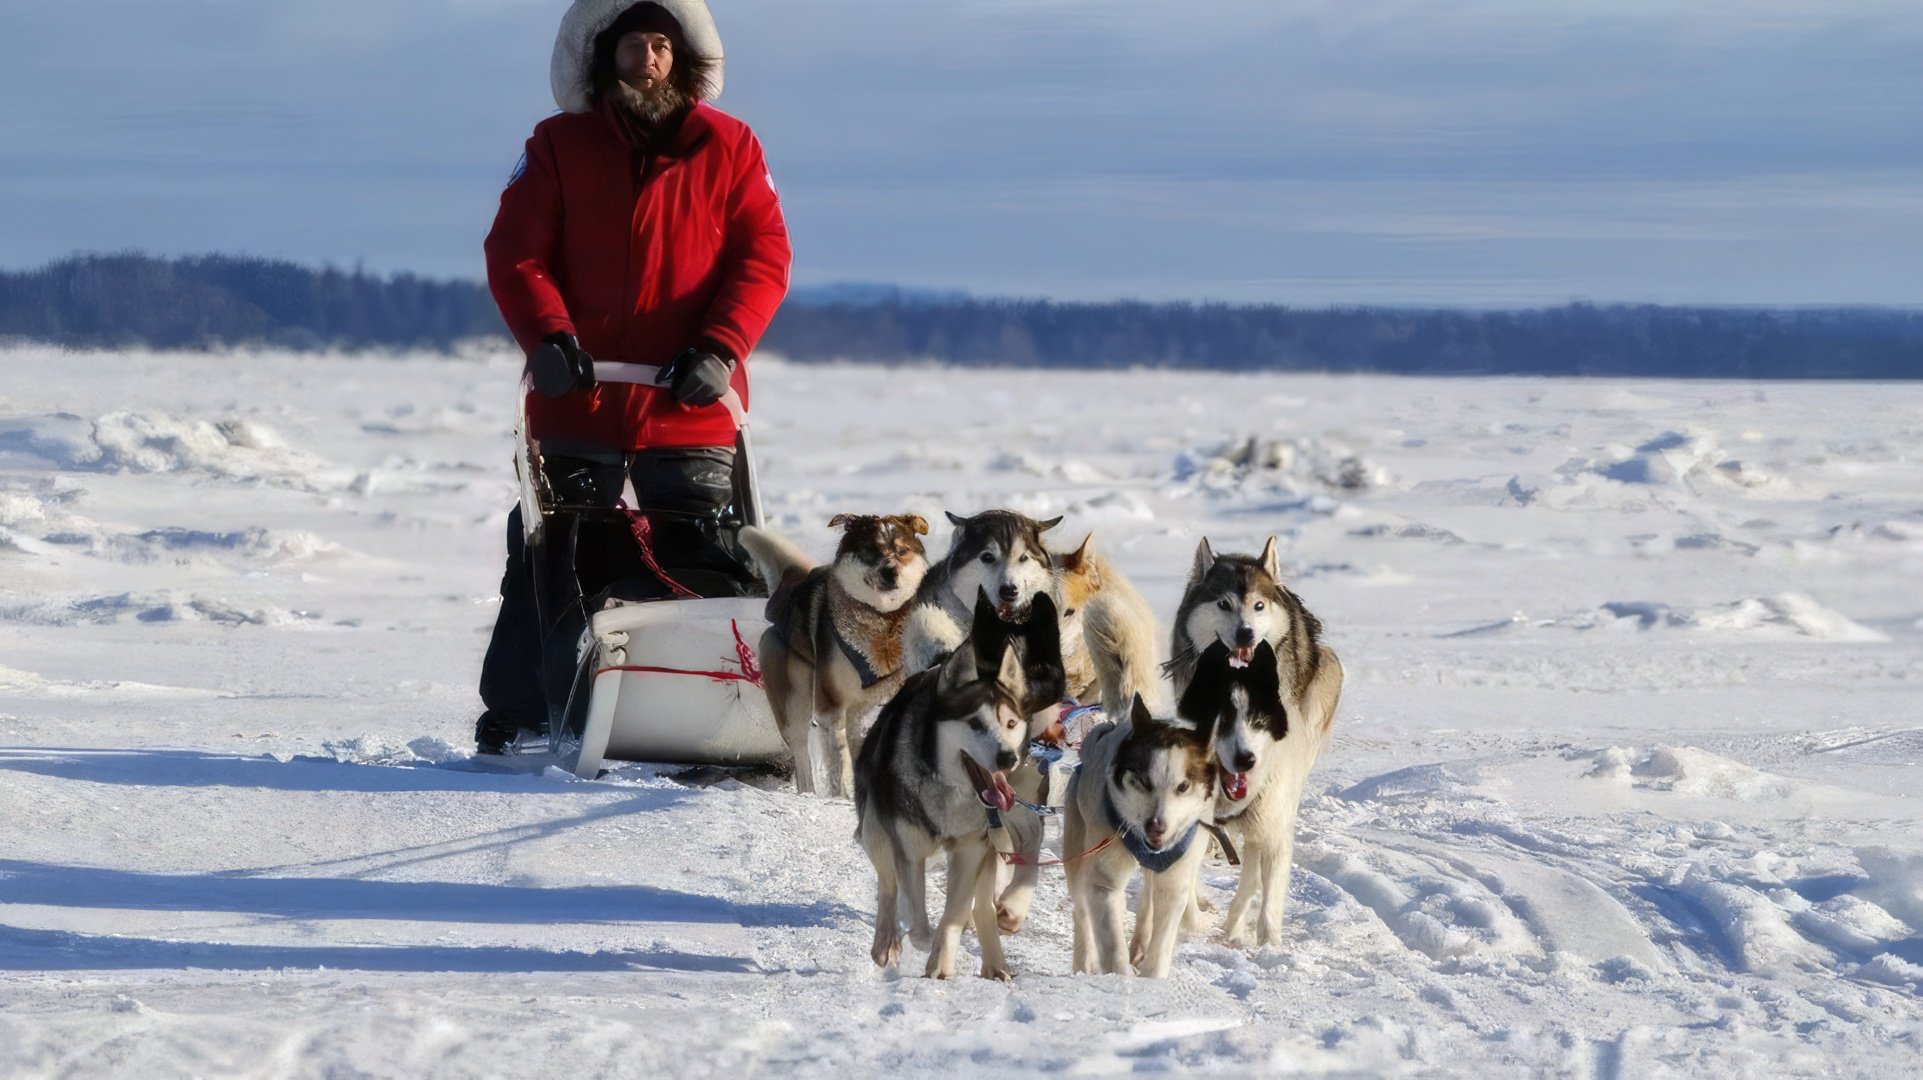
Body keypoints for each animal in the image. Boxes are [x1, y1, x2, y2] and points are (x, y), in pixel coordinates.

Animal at [738, 507, 926, 795]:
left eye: (902, 550)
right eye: (871, 550)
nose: (890, 571)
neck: (881, 623)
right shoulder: (830, 704)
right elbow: (838, 759)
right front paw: (842, 795)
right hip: (794, 698)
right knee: (801, 750)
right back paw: (809, 792)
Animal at [857, 588, 1038, 976]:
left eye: (1011, 723)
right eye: (975, 724)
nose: (1008, 758)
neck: (948, 792)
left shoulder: (971, 849)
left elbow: (954, 913)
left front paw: (941, 961)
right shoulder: (908, 850)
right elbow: (916, 912)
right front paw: (920, 941)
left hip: (989, 848)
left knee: (980, 905)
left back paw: (995, 965)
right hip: (876, 831)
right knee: (888, 887)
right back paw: (886, 942)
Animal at [1069, 687, 1215, 976]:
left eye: (1183, 786)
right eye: (1142, 781)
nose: (1156, 825)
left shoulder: (1174, 878)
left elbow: (1163, 935)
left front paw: (1151, 977)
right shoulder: (1104, 880)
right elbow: (1111, 942)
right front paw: (1120, 976)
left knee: (1147, 899)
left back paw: (1140, 945)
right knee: (1082, 908)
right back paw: (1085, 962)